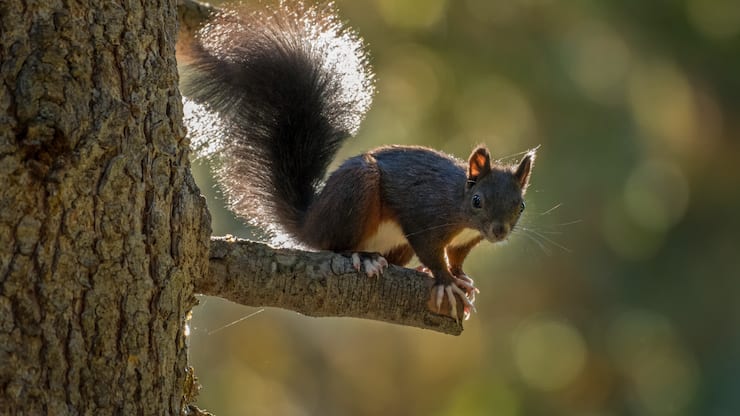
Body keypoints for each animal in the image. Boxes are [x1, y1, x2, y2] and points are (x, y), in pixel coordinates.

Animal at [183, 1, 535, 321]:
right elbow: (431, 251)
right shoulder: (425, 214)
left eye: (521, 205)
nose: (499, 232)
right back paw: (362, 257)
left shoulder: (465, 241)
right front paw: (446, 280)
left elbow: (457, 256)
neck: (458, 203)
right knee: (336, 244)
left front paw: (461, 277)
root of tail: (310, 225)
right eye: (477, 201)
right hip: (356, 190)